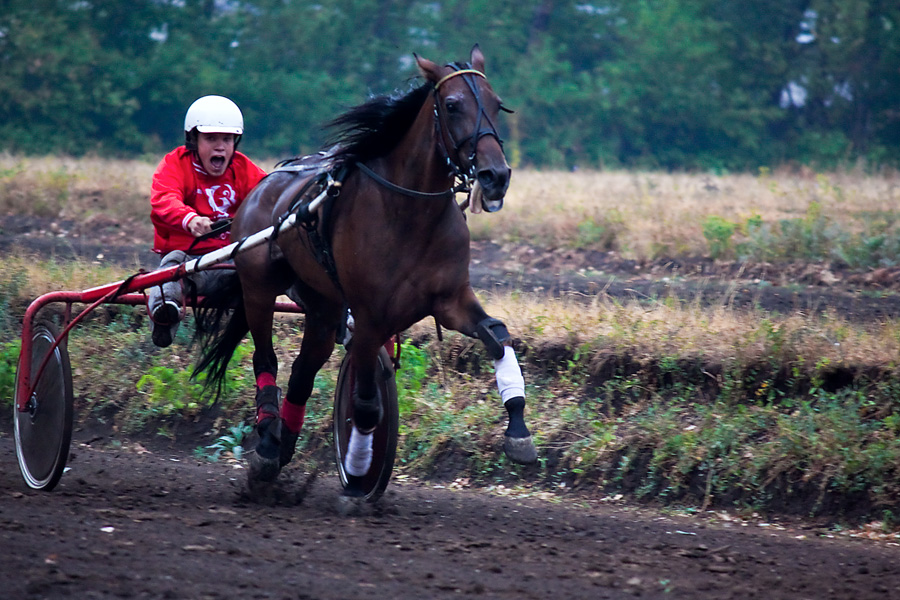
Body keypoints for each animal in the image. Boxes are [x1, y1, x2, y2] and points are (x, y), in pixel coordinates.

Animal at [195, 44, 536, 490]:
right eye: (451, 104)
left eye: (497, 104)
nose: (496, 175)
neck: (411, 215)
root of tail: (262, 185)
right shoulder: (371, 316)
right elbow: (367, 405)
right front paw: (358, 467)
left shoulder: (450, 300)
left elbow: (497, 335)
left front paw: (519, 433)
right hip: (258, 287)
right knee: (265, 359)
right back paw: (268, 443)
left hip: (322, 305)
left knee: (303, 371)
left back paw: (282, 443)